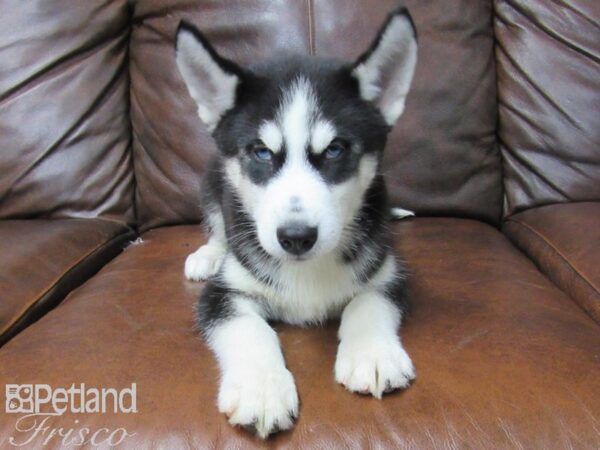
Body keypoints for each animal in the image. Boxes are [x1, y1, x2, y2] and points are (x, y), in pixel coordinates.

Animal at [173, 7, 418, 440]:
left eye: (335, 150)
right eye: (260, 152)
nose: (296, 238)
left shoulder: (388, 272)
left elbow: (368, 301)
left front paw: (372, 352)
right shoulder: (224, 292)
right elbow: (248, 328)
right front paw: (261, 389)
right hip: (211, 180)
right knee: (217, 225)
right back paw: (207, 254)